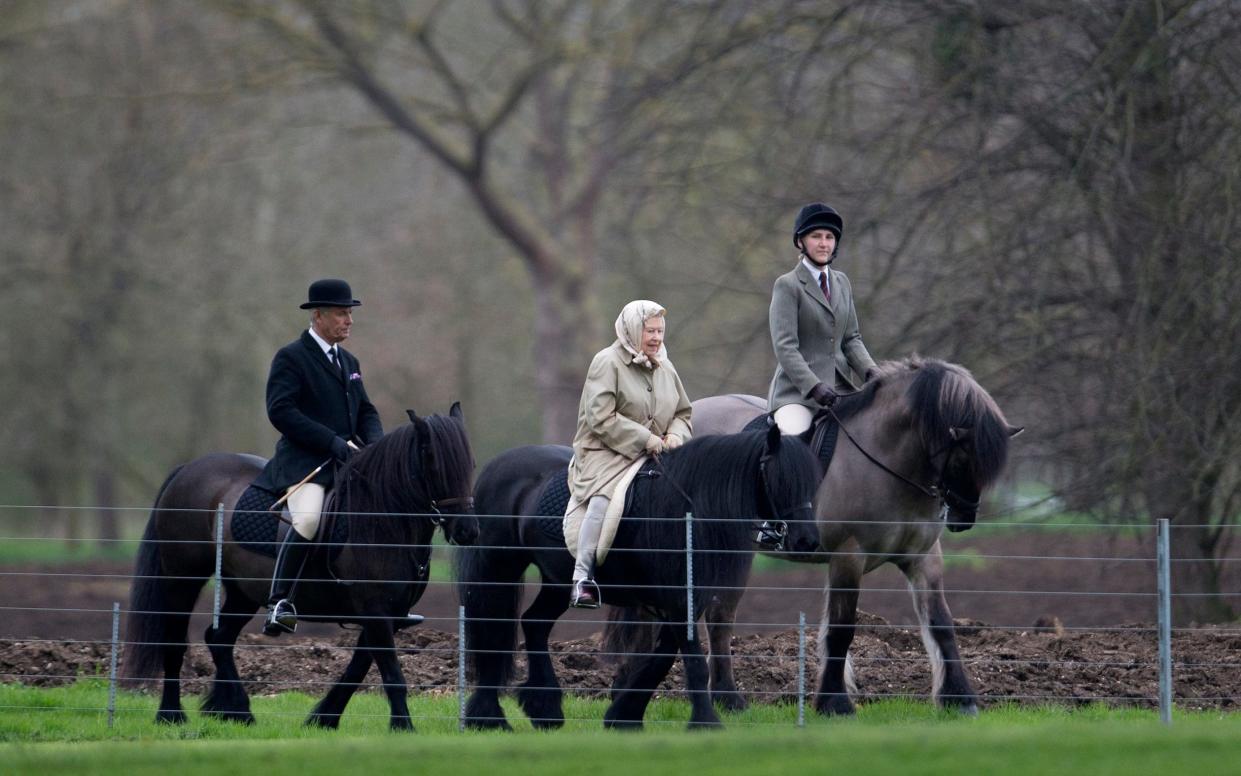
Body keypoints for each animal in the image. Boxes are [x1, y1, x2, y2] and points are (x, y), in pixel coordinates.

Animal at [122, 402, 479, 730]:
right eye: (432, 461)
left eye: (470, 464)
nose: (467, 530)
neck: (383, 519)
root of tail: (188, 469)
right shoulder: (375, 609)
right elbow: (390, 672)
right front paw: (403, 727)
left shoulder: (389, 612)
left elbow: (358, 667)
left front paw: (325, 718)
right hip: (183, 577)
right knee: (175, 641)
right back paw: (172, 715)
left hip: (244, 591)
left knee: (218, 638)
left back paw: (236, 711)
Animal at [689, 357, 1017, 715]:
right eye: (961, 460)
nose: (963, 520)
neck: (887, 461)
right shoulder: (848, 555)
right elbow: (841, 629)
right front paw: (835, 702)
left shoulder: (924, 557)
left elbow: (941, 624)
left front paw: (959, 699)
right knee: (715, 617)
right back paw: (725, 697)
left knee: (719, 616)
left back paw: (726, 699)